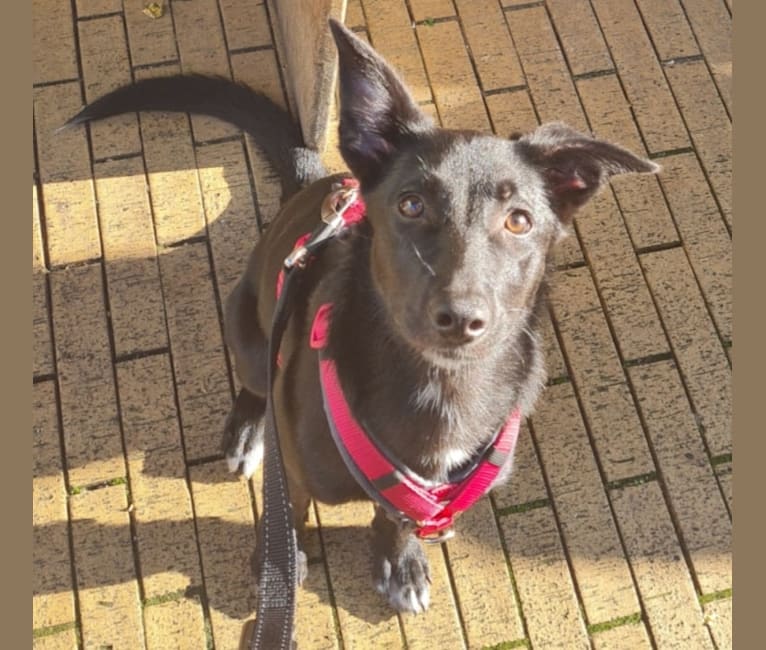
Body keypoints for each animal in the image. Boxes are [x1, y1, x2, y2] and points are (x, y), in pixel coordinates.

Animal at [70, 17, 660, 612]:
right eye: (410, 204)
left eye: (519, 220)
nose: (461, 319)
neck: (441, 387)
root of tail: (313, 184)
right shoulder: (297, 469)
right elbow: (289, 512)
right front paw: (278, 563)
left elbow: (395, 516)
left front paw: (400, 563)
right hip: (246, 326)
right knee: (256, 382)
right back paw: (247, 429)